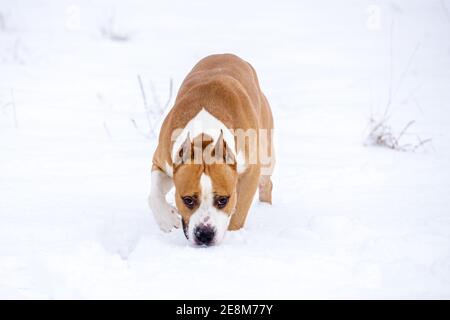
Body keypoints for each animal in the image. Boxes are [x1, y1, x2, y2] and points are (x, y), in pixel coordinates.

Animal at [149, 53, 274, 246]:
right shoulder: (162, 163)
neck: (204, 141)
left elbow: (239, 211)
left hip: (267, 157)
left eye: (223, 200)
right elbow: (153, 195)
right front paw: (167, 220)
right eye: (188, 200)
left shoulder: (251, 172)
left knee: (267, 183)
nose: (205, 234)